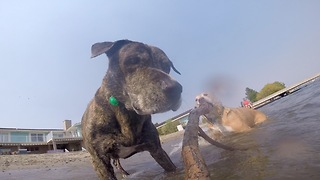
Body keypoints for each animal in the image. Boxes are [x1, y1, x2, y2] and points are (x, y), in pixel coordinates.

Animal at [82, 40, 182, 179]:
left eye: (167, 66)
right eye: (133, 60)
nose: (176, 89)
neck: (126, 113)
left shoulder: (157, 149)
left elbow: (172, 168)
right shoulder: (99, 160)